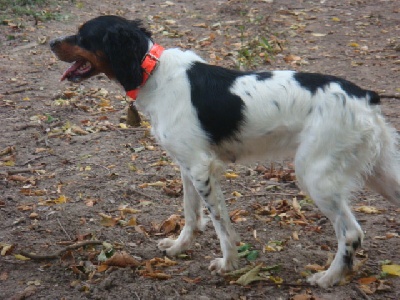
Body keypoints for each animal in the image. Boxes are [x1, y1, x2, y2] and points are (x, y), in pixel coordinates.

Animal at [50, 15, 400, 288]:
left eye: (83, 35)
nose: (51, 42)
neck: (153, 72)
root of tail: (365, 95)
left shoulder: (201, 167)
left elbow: (220, 222)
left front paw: (228, 263)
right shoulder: (187, 166)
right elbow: (191, 213)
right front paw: (179, 247)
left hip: (315, 175)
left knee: (351, 233)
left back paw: (328, 278)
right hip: (380, 174)